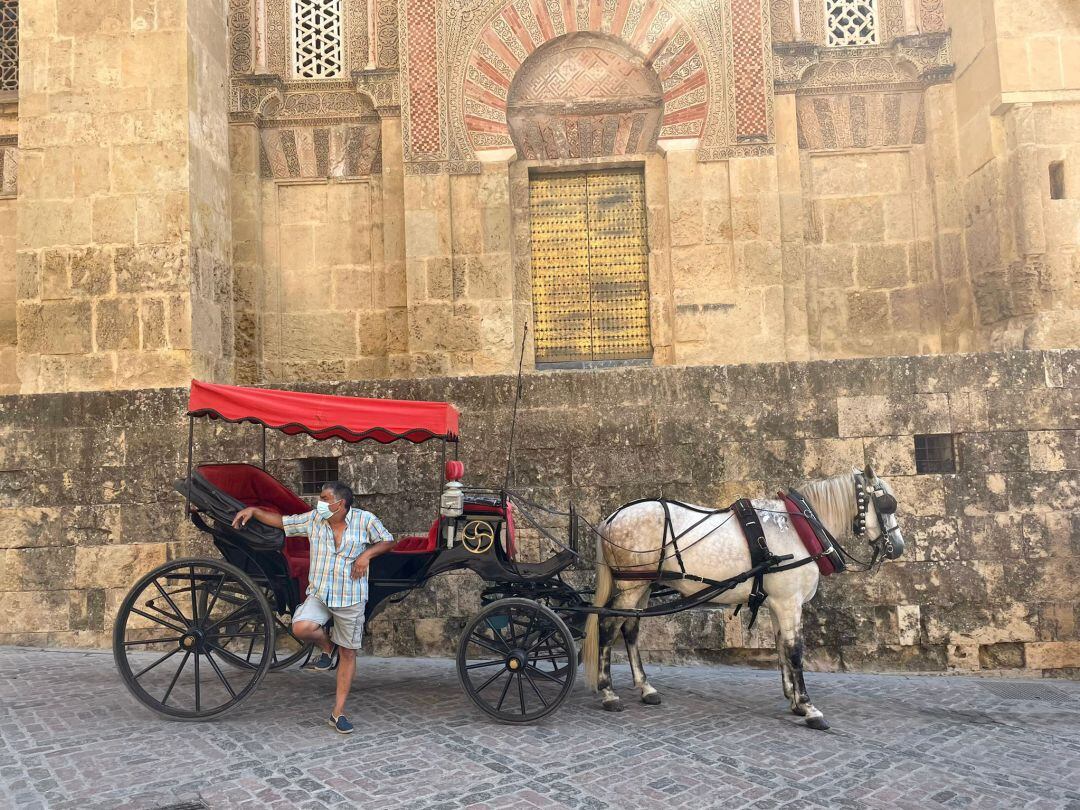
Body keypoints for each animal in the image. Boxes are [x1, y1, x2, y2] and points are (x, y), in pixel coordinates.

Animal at [583, 466, 902, 734]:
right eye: (888, 504)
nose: (898, 547)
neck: (798, 529)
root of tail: (612, 517)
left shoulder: (779, 603)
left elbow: (782, 648)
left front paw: (794, 701)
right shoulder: (789, 602)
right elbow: (795, 651)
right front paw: (809, 708)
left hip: (643, 586)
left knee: (630, 629)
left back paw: (645, 688)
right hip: (630, 586)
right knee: (607, 628)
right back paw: (608, 692)